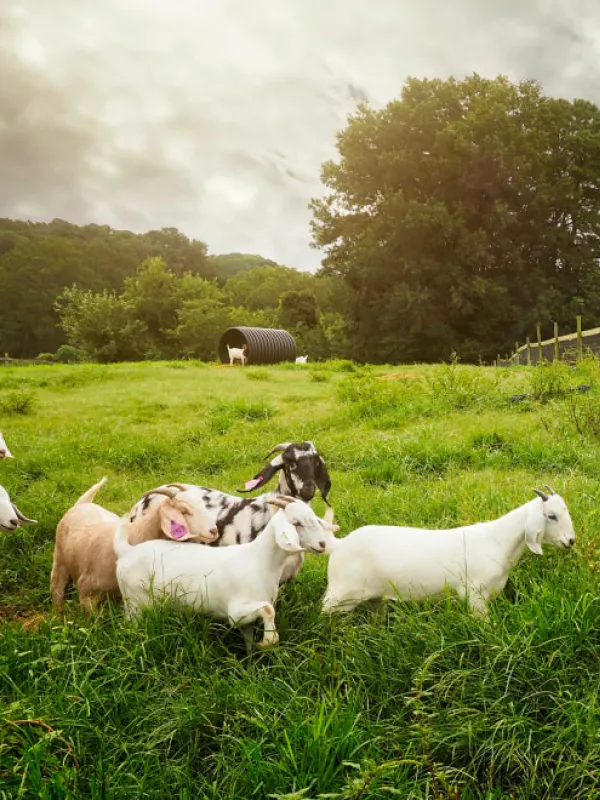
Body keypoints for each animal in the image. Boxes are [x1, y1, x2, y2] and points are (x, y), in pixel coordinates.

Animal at [49, 482, 218, 612]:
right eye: (184, 511)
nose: (214, 531)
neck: (133, 535)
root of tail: (82, 504)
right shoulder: (87, 593)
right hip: (59, 563)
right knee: (57, 593)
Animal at [112, 494, 338, 648]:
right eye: (296, 523)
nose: (322, 544)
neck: (259, 561)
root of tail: (126, 550)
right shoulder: (234, 613)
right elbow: (268, 609)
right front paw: (269, 640)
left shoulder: (246, 621)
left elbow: (250, 639)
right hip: (136, 603)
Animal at [322, 488, 576, 620]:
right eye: (551, 516)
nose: (571, 541)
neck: (497, 541)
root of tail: (339, 545)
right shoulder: (474, 595)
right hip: (341, 594)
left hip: (373, 597)